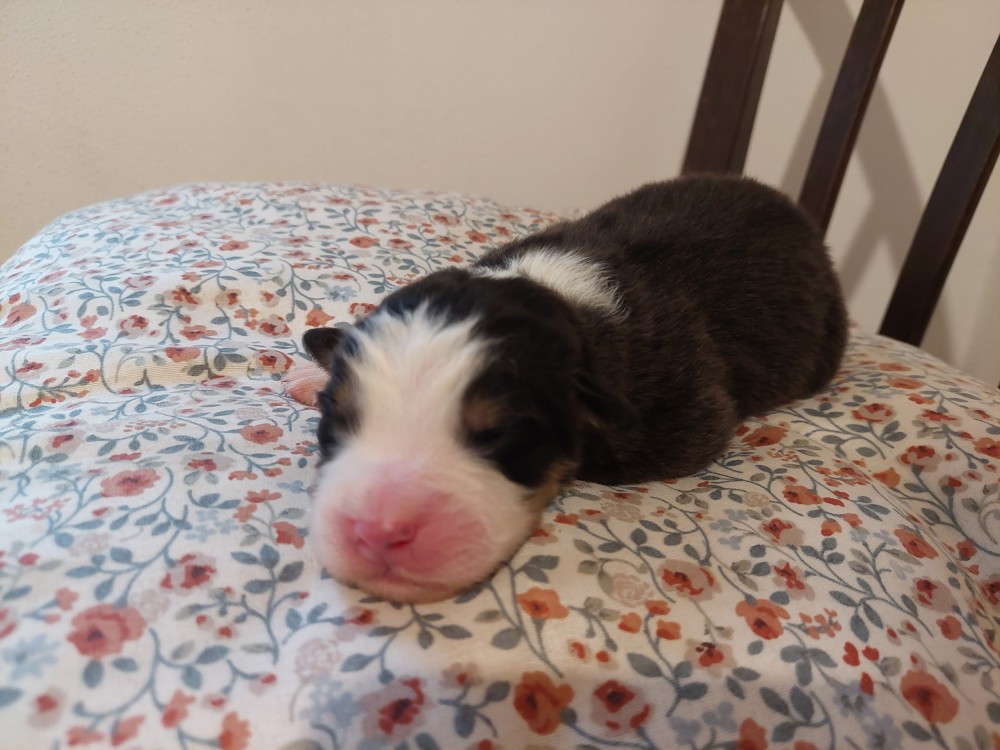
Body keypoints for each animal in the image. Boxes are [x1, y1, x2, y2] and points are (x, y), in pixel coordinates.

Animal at [284, 175, 848, 602]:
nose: (379, 532)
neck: (555, 294)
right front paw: (314, 368)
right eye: (336, 421)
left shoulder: (690, 412)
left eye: (501, 435)